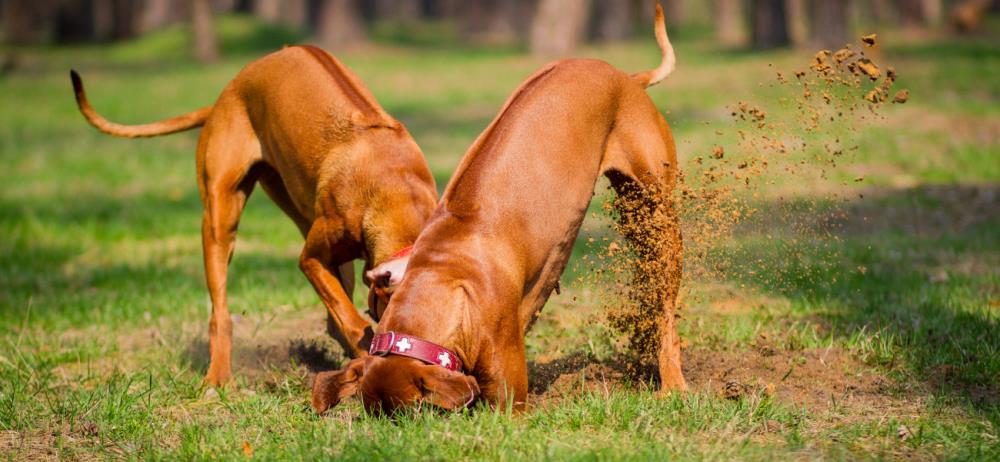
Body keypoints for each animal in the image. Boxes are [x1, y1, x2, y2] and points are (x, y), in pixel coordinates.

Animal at [72, 46, 440, 386]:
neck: (398, 191)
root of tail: (225, 95)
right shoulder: (312, 258)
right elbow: (351, 319)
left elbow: (342, 308)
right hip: (220, 217)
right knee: (220, 312)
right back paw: (218, 377)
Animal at [316, 4, 684, 416]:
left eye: (409, 417)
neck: (443, 274)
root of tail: (627, 78)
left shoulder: (507, 390)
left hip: (658, 220)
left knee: (666, 311)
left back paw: (673, 382)